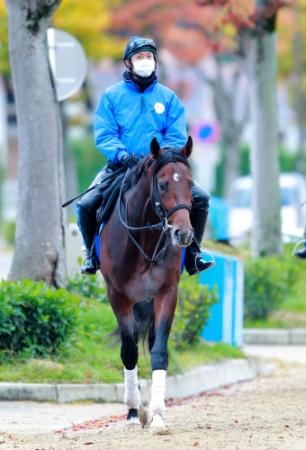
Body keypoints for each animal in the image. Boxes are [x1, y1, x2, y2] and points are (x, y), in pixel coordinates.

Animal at [100, 136, 194, 428]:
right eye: (162, 185)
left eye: (190, 183)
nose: (183, 234)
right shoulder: (118, 296)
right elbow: (129, 351)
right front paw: (135, 410)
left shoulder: (167, 292)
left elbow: (159, 351)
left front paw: (158, 414)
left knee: (152, 342)